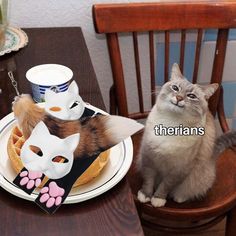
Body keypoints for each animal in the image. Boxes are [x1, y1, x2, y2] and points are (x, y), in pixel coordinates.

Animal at [137, 63, 236, 207]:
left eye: (191, 96)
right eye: (175, 88)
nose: (179, 98)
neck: (171, 126)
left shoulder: (179, 170)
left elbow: (165, 186)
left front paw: (158, 199)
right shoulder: (148, 159)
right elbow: (148, 181)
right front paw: (145, 195)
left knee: (187, 191)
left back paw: (179, 198)